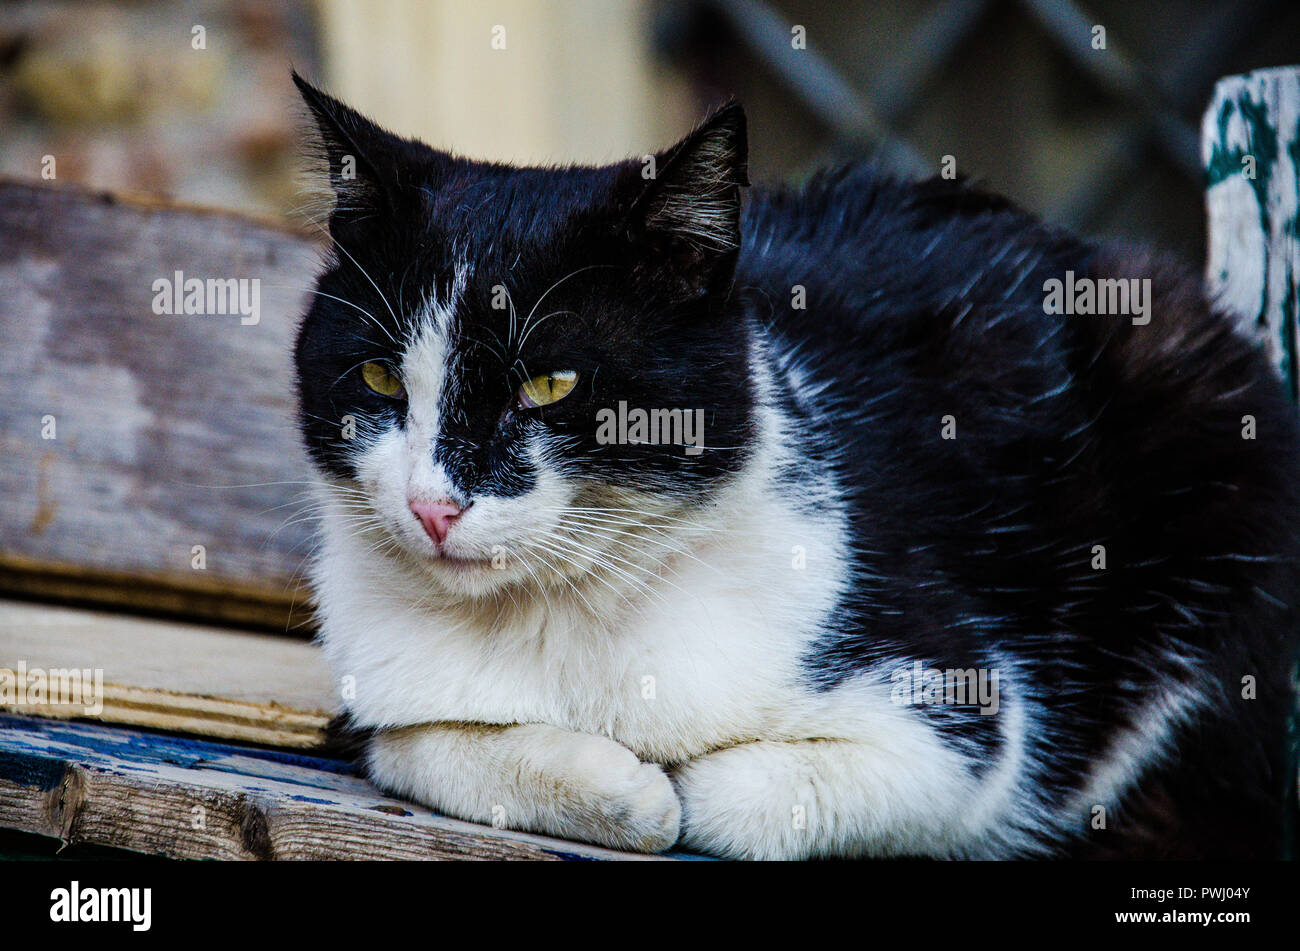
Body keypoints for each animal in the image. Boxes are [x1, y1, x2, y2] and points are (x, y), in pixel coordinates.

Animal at [292, 72, 1300, 862]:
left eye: (550, 383)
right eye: (379, 376)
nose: (432, 504)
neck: (559, 620)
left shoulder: (969, 711)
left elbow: (733, 796)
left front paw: (668, 782)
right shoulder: (367, 700)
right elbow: (415, 741)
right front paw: (617, 784)